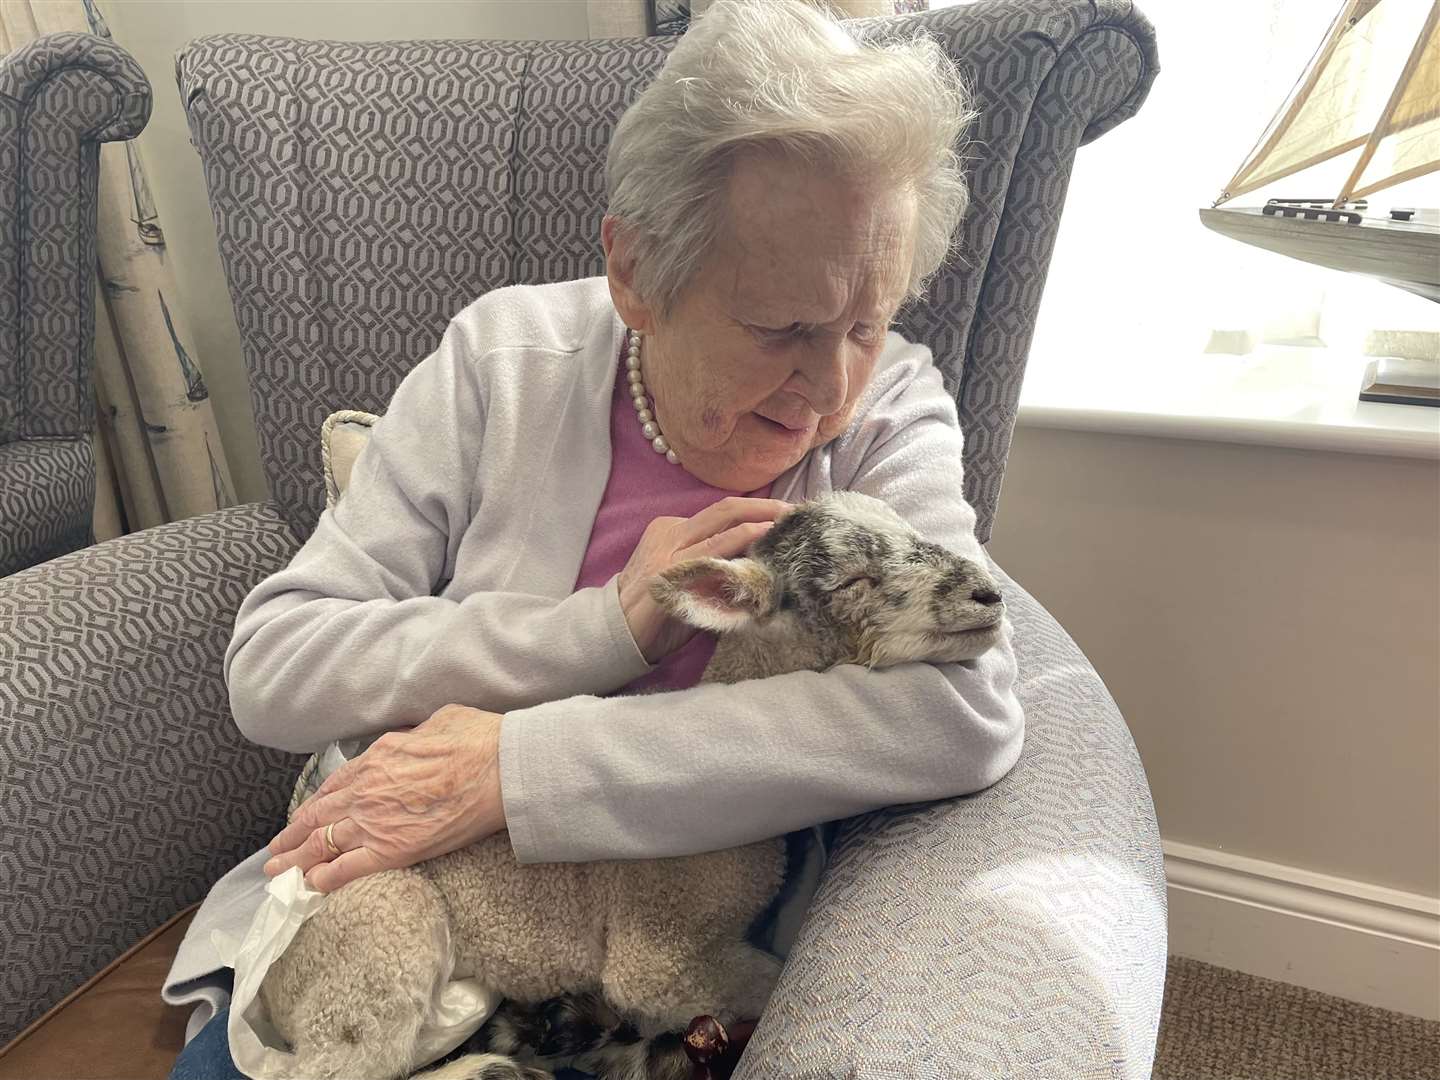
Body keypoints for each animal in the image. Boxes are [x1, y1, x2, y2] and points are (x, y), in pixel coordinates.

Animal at [259, 492, 1008, 1080]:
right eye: (851, 578)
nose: (989, 594)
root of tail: (272, 988)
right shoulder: (661, 957)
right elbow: (758, 980)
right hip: (381, 938)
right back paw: (488, 1069)